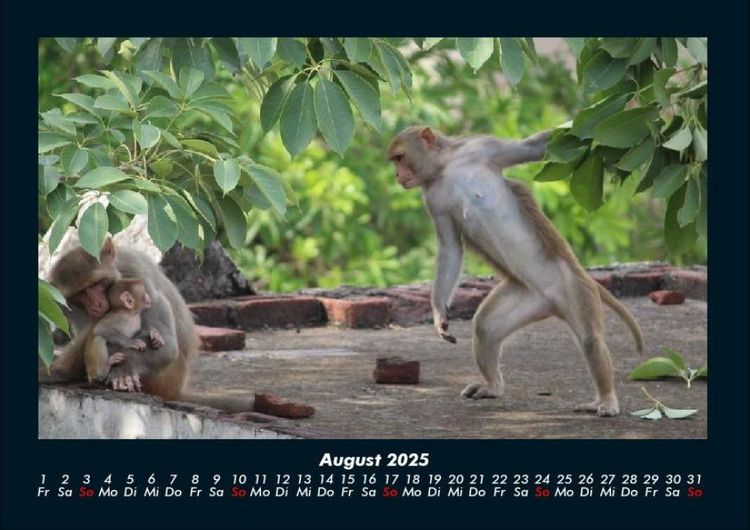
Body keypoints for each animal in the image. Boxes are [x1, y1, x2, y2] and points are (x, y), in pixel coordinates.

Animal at [387, 126, 644, 417]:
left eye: (400, 158)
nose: (397, 175)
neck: (446, 168)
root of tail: (553, 302)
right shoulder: (433, 199)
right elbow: (450, 248)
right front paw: (439, 312)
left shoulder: (482, 147)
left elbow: (534, 147)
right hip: (528, 294)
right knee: (486, 327)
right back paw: (493, 386)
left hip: (576, 287)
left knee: (590, 339)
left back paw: (607, 399)